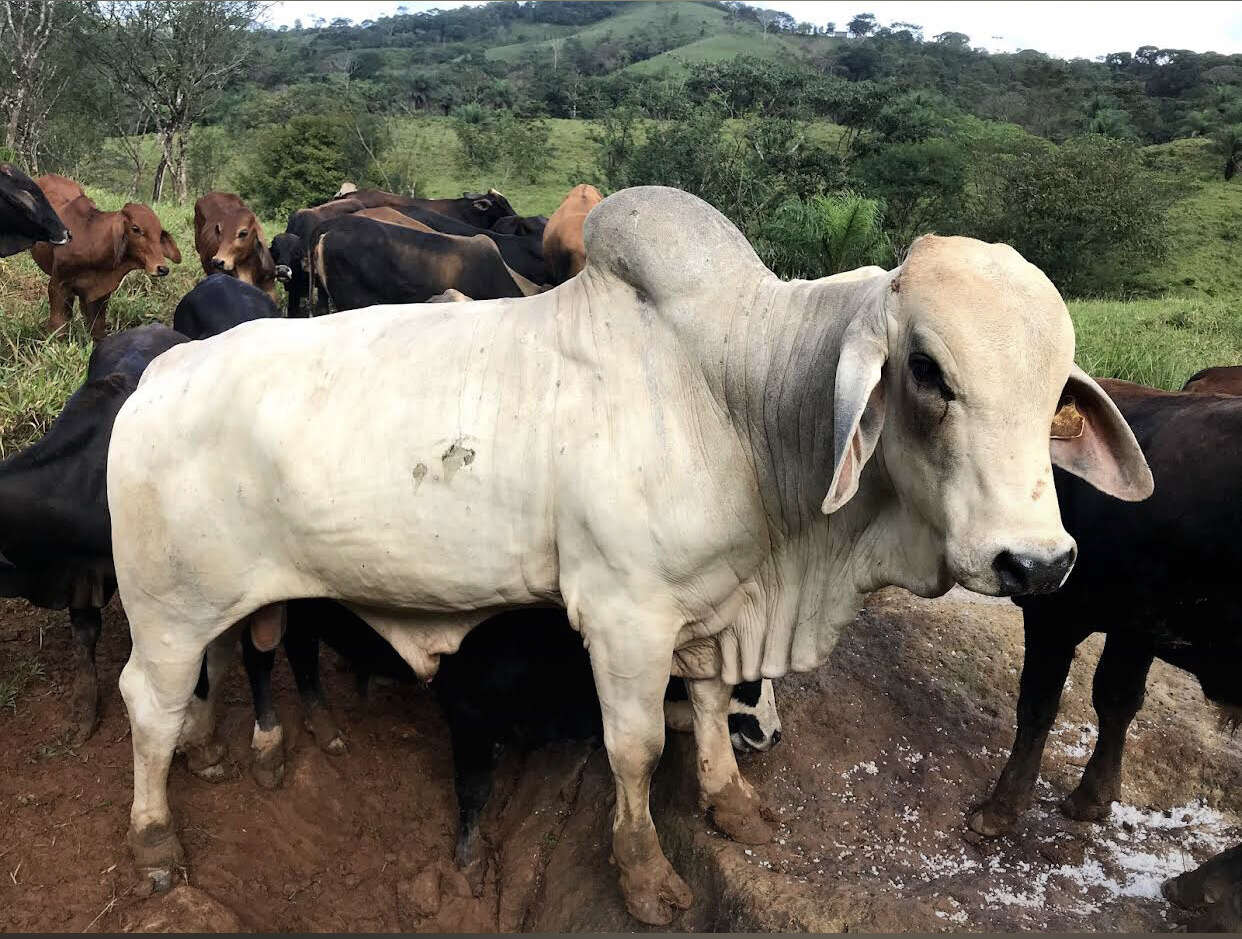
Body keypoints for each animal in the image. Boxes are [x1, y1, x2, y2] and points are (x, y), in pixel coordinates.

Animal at [32, 173, 181, 340]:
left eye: (159, 233)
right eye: (136, 229)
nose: (162, 268)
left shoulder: (100, 295)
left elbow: (97, 327)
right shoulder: (58, 284)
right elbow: (58, 325)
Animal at [109, 183, 1152, 924]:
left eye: (1056, 388)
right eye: (929, 371)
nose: (1037, 564)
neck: (740, 399)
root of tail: (163, 371)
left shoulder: (711, 605)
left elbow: (709, 702)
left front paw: (733, 802)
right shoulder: (624, 614)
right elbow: (640, 746)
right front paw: (646, 873)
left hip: (224, 600)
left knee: (236, 655)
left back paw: (225, 746)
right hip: (166, 607)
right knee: (145, 704)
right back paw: (156, 839)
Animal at [968, 375, 1242, 934]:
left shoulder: (1054, 608)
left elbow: (1038, 706)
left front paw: (1002, 810)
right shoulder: (1135, 623)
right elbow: (1117, 700)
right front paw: (1093, 797)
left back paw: (1203, 887)